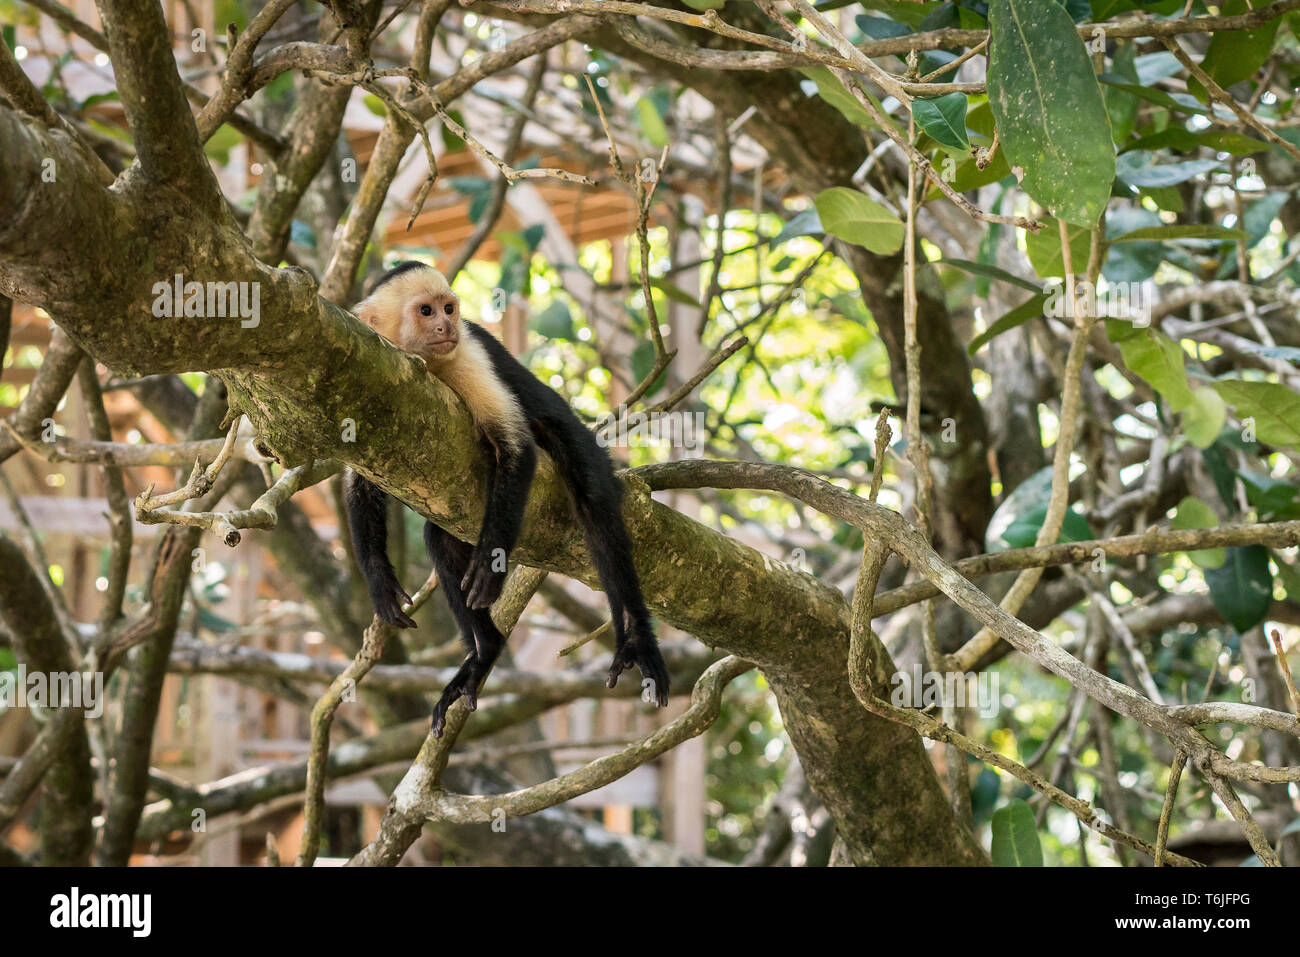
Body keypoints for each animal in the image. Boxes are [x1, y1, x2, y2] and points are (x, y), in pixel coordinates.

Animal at [343, 261, 670, 733]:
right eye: (425, 311)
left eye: (448, 308)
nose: (445, 325)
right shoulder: (371, 373)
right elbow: (361, 483)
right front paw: (378, 580)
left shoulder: (467, 354)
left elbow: (515, 449)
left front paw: (490, 564)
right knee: (440, 540)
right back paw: (485, 652)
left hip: (576, 441)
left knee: (593, 505)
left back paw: (635, 636)